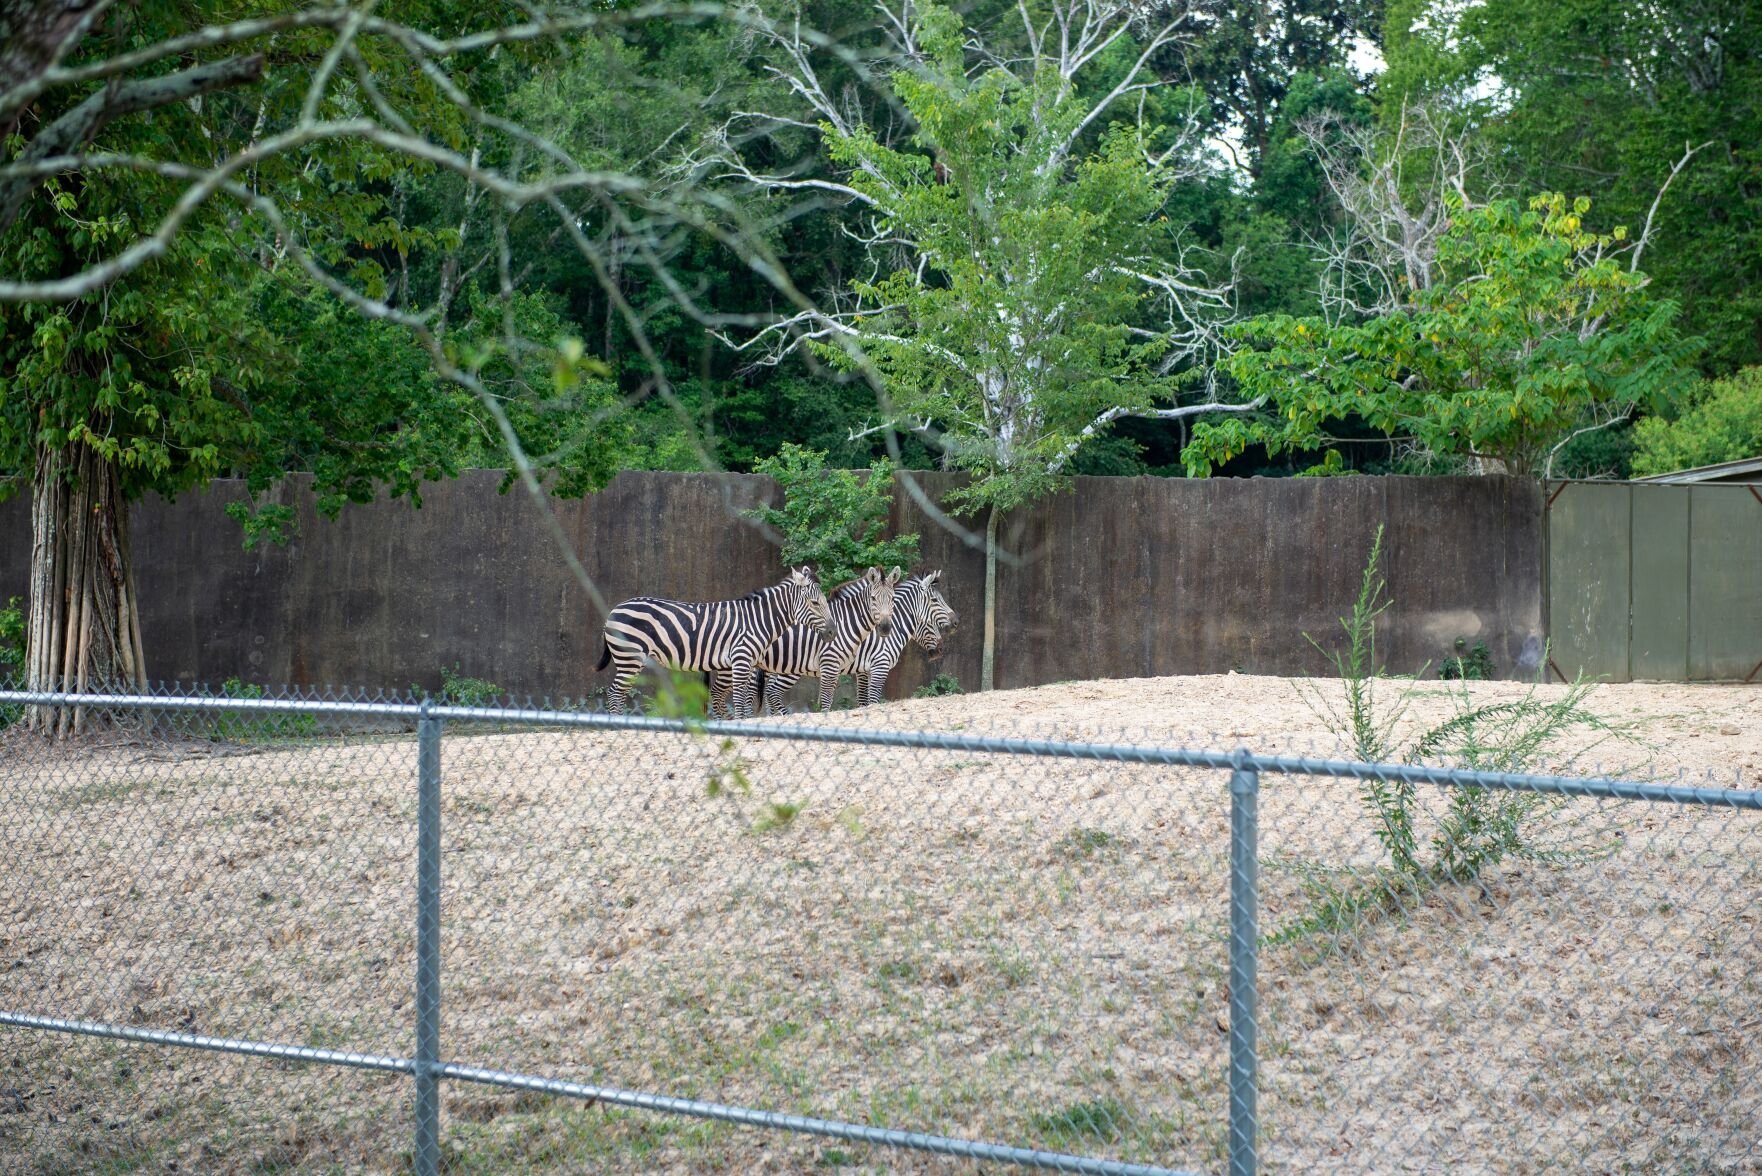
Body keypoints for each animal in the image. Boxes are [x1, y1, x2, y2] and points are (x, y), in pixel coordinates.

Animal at [595, 567, 828, 722]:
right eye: (815, 603)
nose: (832, 632)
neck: (758, 620)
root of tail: (614, 610)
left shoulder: (747, 663)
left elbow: (742, 698)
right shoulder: (741, 659)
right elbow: (740, 699)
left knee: (618, 693)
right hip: (629, 657)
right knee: (615, 693)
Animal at [708, 567, 902, 719]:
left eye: (892, 599)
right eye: (873, 598)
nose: (885, 628)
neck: (846, 621)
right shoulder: (833, 664)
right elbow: (829, 702)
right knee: (721, 693)